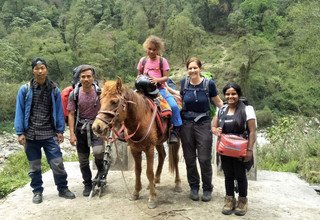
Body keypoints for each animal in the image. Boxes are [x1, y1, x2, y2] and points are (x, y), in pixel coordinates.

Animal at [92, 78, 181, 209]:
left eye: (114, 102)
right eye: (100, 100)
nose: (96, 127)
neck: (141, 118)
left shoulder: (149, 149)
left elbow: (149, 172)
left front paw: (152, 198)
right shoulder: (134, 149)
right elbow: (137, 171)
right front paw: (136, 193)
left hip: (178, 139)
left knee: (175, 159)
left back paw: (177, 184)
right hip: (159, 142)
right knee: (162, 155)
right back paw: (155, 181)